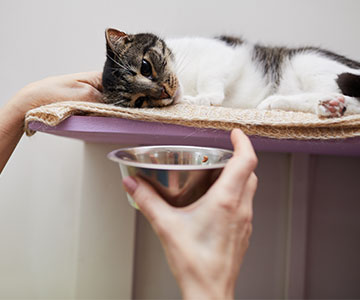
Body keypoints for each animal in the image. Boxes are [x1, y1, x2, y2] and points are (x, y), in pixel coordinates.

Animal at [100, 27, 360, 117]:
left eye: (145, 67)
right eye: (140, 101)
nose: (164, 92)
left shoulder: (224, 53)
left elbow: (210, 80)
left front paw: (204, 97)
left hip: (307, 60)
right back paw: (328, 106)